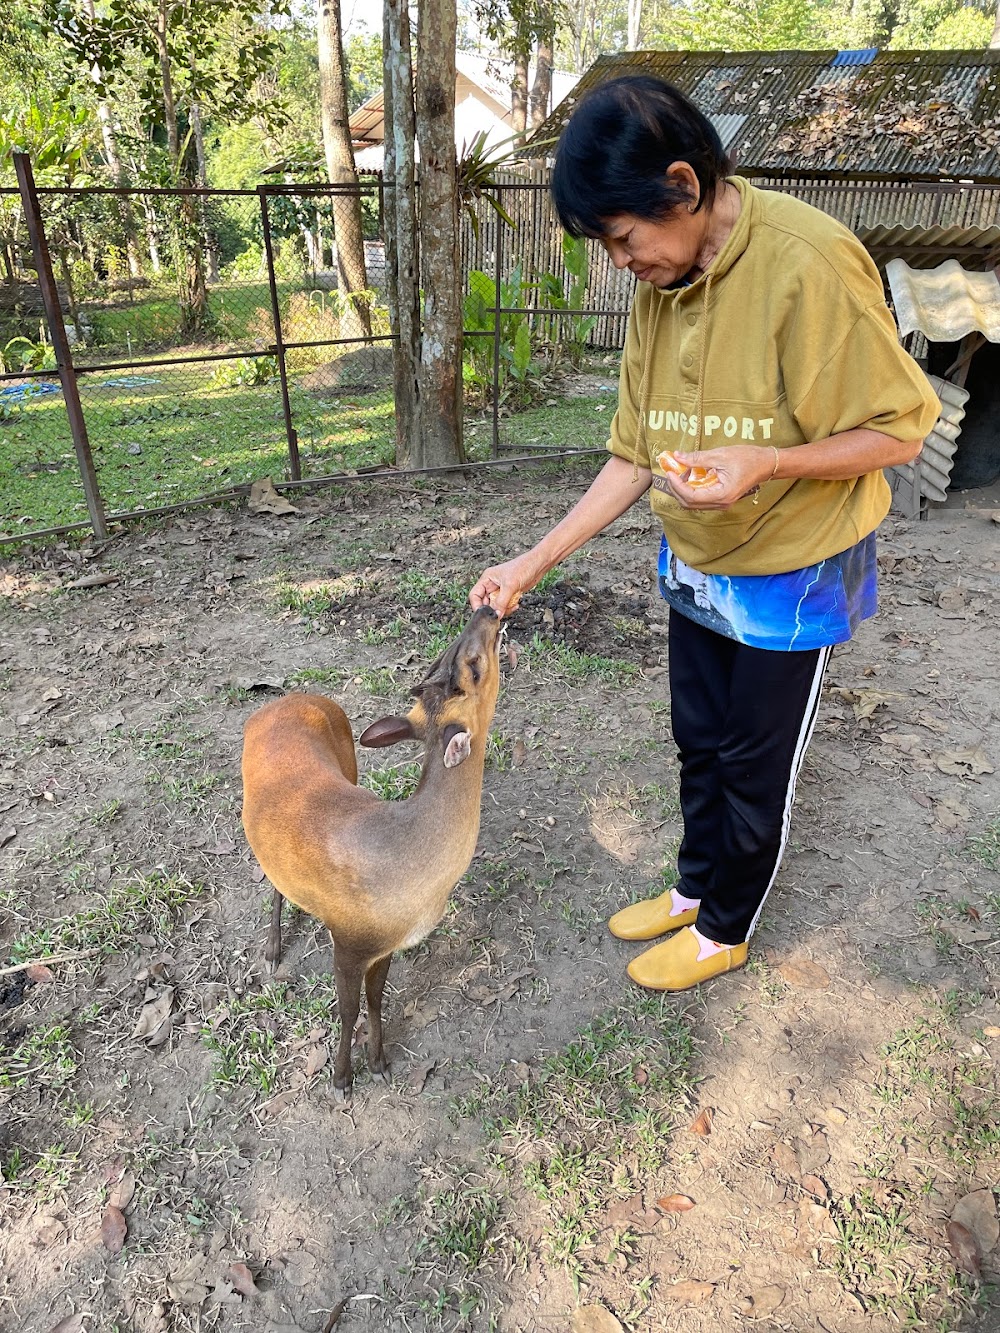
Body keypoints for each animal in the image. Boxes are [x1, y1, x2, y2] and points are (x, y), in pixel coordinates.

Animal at [240, 610, 504, 1098]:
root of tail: (282, 700)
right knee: (271, 879)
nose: (489, 612)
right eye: (472, 667)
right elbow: (346, 1010)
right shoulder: (347, 938)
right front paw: (341, 1077)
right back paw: (272, 947)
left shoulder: (385, 945)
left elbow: (378, 998)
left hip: (350, 763)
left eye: (453, 663)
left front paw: (379, 1061)